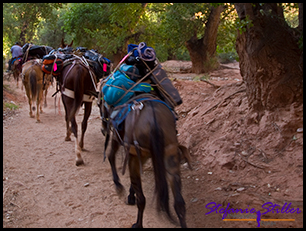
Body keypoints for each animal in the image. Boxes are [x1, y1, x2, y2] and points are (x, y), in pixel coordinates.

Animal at [100, 95, 191, 227]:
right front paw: (130, 195)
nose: (103, 129)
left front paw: (119, 186)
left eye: (100, 104)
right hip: (170, 155)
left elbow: (111, 156)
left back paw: (138, 224)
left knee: (142, 199)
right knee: (179, 203)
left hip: (137, 153)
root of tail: (154, 120)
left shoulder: (118, 138)